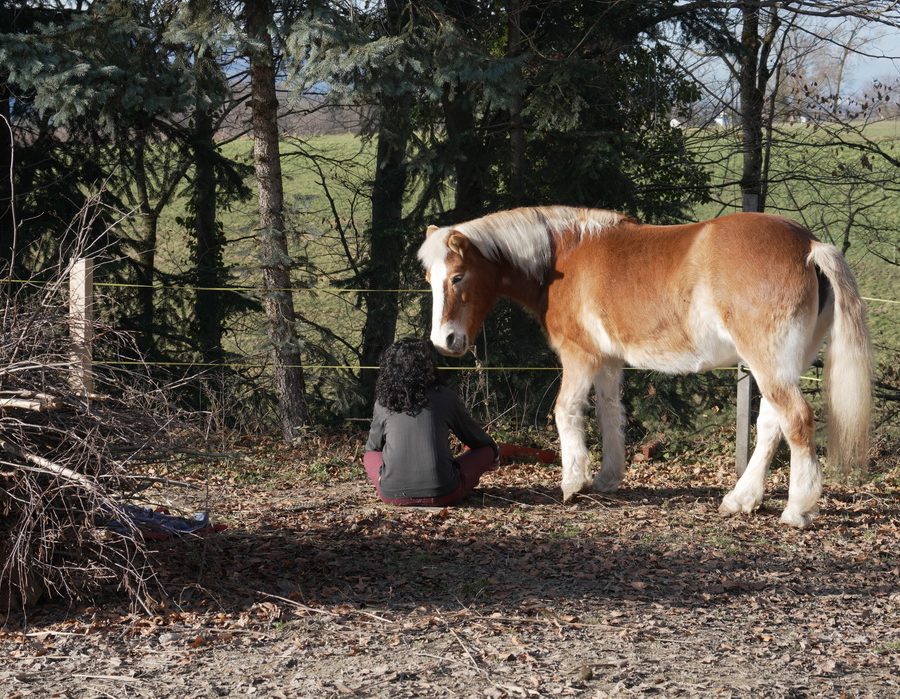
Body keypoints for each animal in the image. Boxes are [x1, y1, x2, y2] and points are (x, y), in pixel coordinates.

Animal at [417, 206, 872, 527]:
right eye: (429, 279)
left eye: (457, 277)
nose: (444, 341)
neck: (564, 255)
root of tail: (809, 246)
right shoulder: (607, 361)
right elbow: (609, 414)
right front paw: (607, 478)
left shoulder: (579, 356)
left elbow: (566, 411)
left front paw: (572, 483)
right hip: (778, 366)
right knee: (771, 427)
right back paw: (740, 500)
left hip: (768, 364)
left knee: (795, 420)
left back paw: (797, 510)